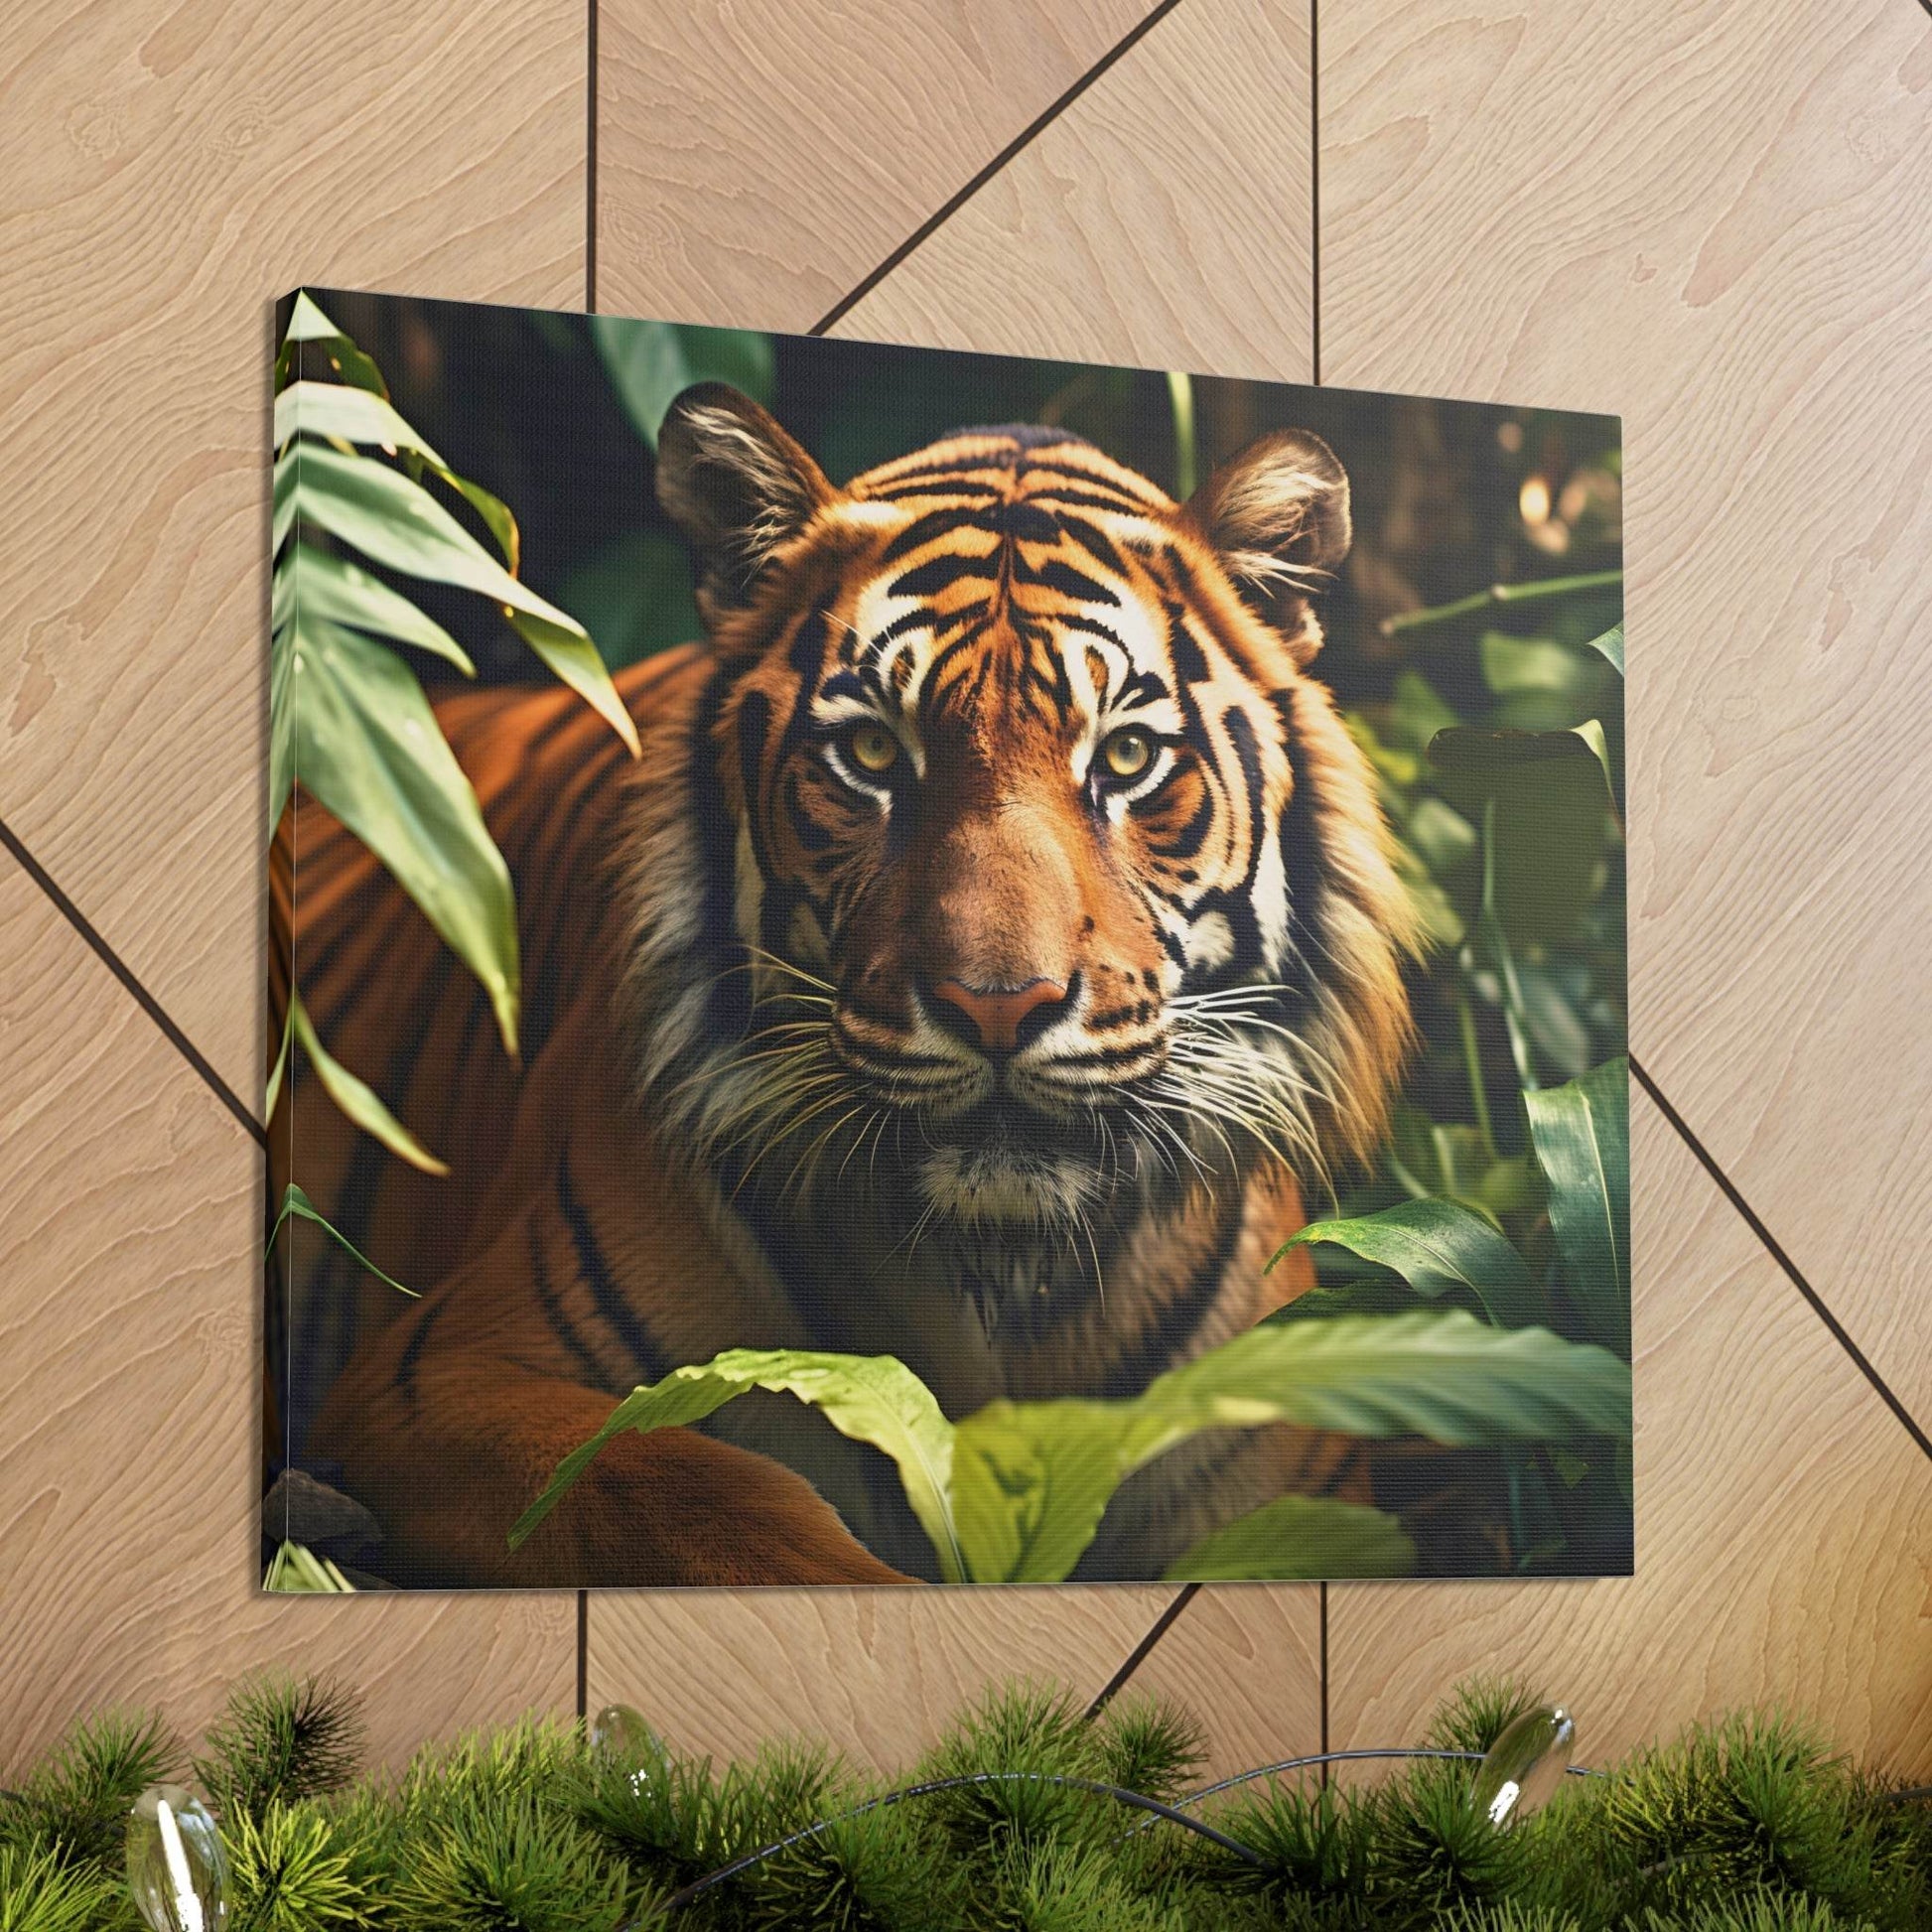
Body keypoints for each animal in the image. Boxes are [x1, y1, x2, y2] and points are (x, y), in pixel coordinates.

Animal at [268, 384, 1421, 1587]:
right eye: (870, 755)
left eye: (1126, 758)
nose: (998, 1004)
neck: (1000, 1276)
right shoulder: (441, 1371)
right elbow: (697, 1494)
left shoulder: (1295, 1493)